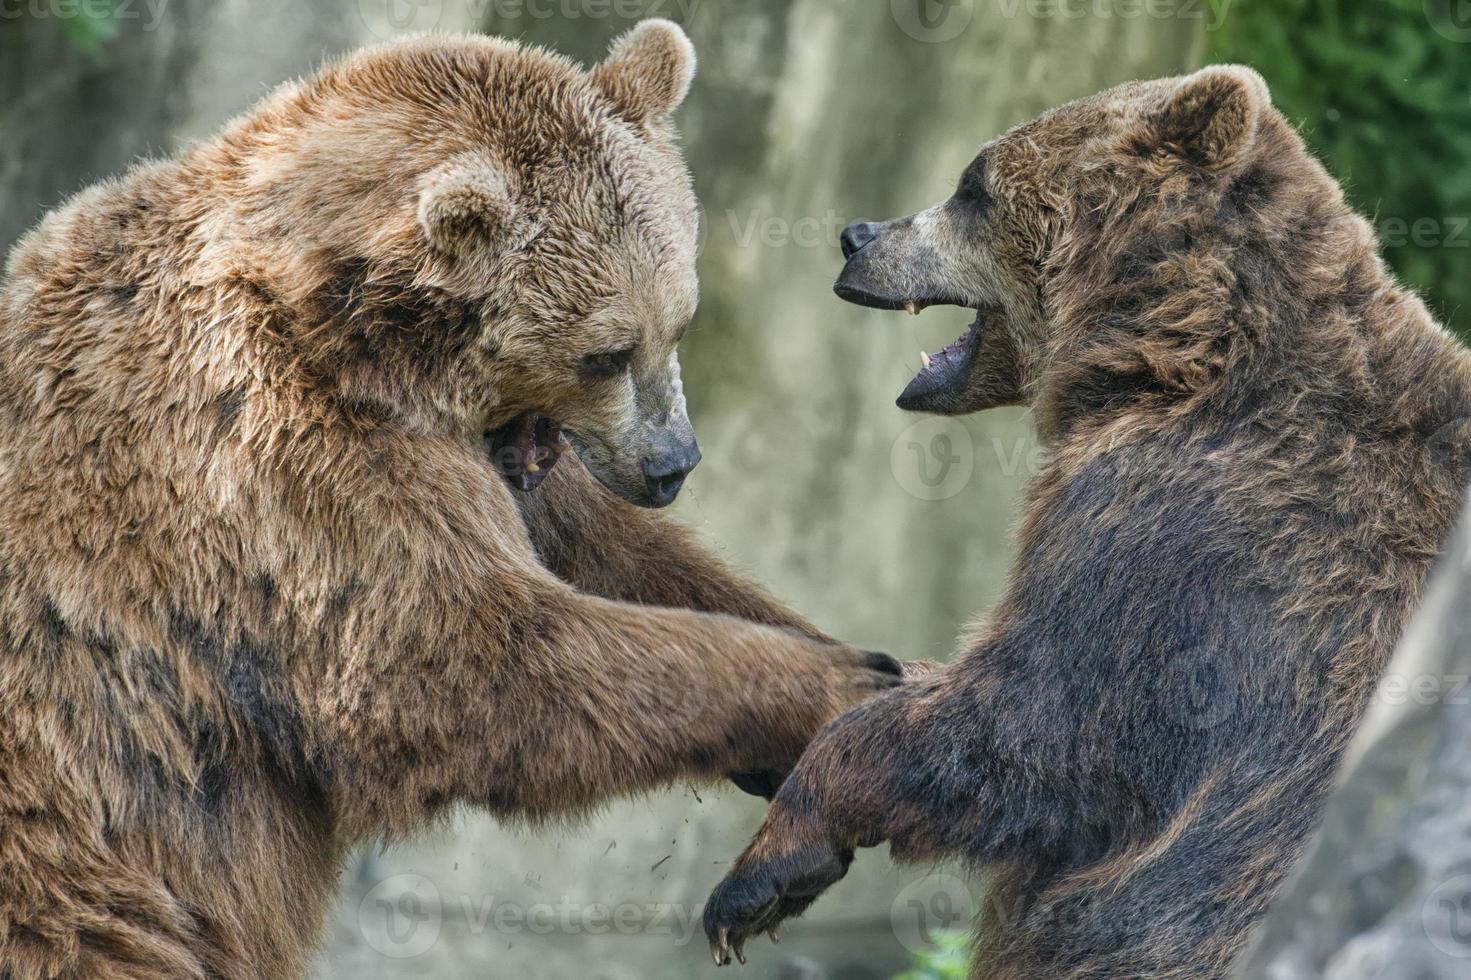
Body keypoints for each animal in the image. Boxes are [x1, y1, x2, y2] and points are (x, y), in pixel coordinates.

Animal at [0, 22, 894, 977]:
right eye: (606, 352)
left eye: (678, 321)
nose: (672, 464)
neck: (360, 339)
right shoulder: (276, 465)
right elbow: (466, 660)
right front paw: (840, 683)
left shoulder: (510, 464)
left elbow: (621, 559)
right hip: (75, 868)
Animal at [700, 64, 1471, 971]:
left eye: (971, 185)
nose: (857, 235)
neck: (1171, 358)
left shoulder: (1188, 540)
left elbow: (1030, 723)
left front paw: (760, 876)